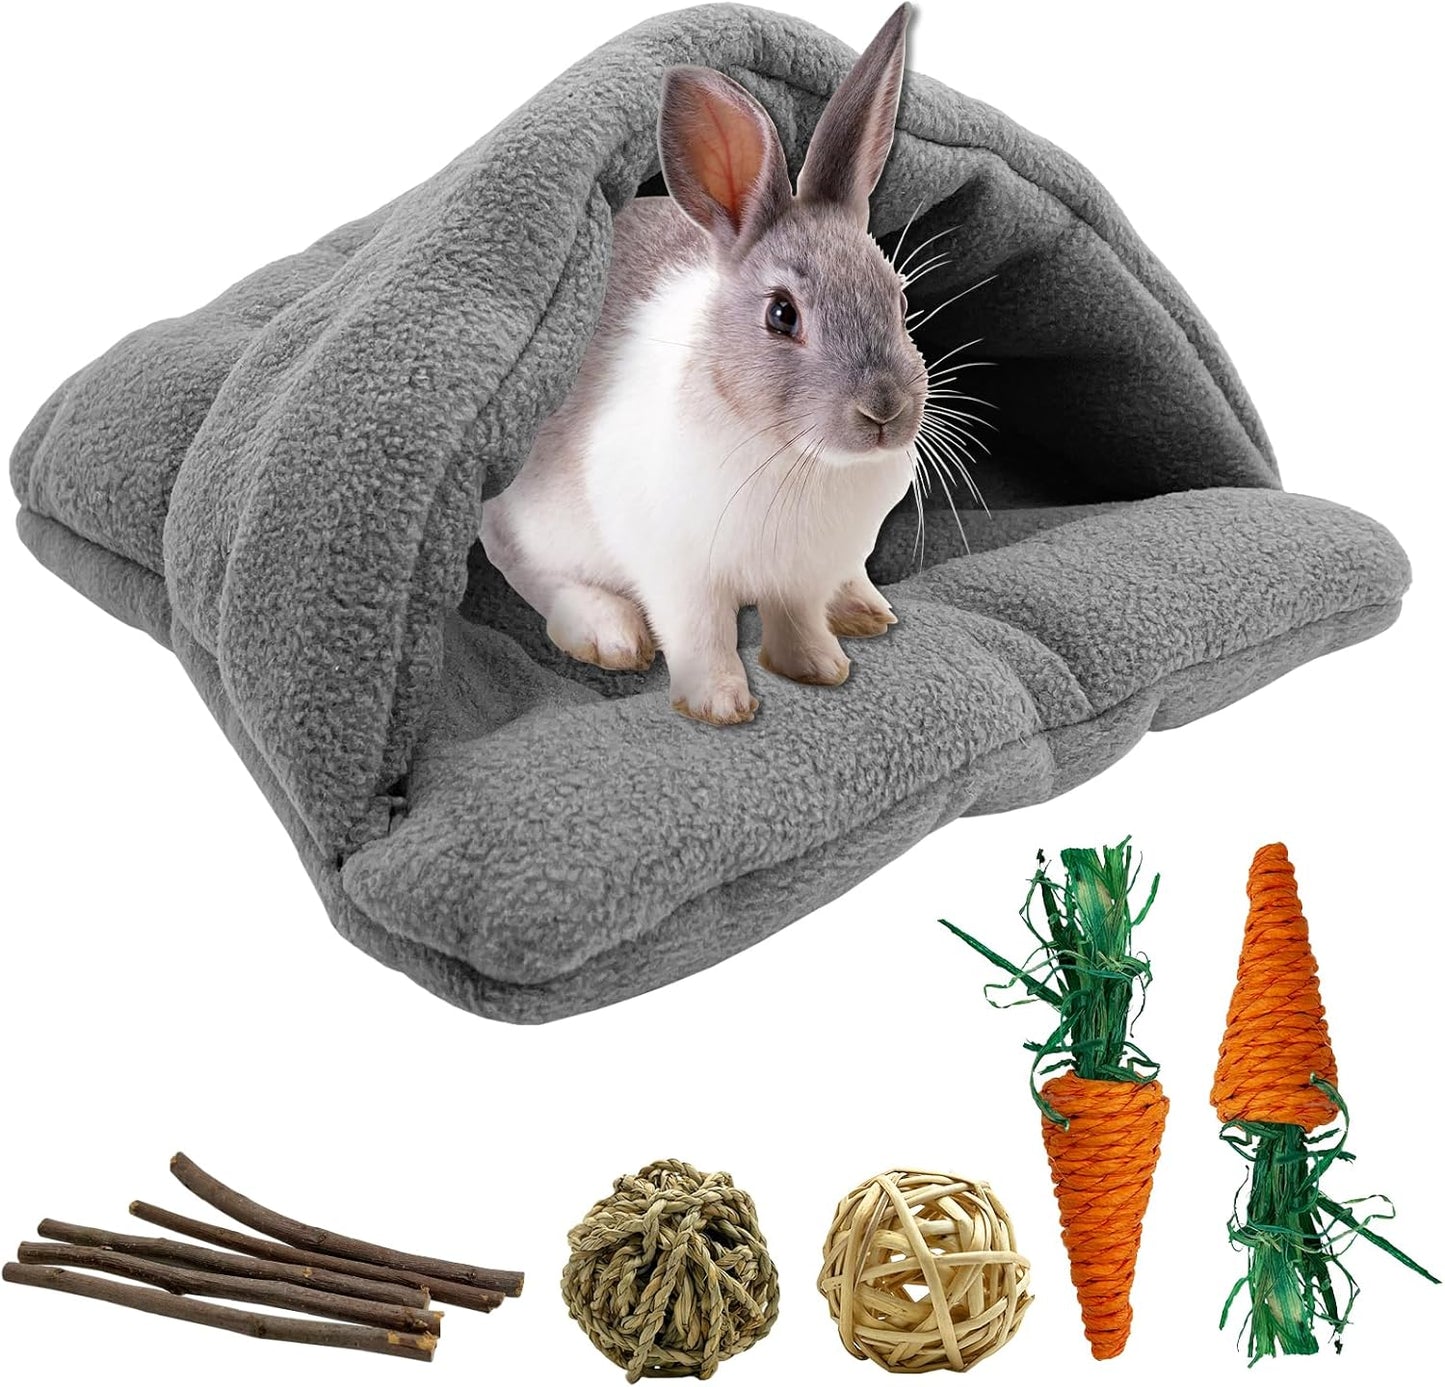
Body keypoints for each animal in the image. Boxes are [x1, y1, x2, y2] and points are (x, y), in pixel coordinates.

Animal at [480, 4, 926, 725]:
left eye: (900, 298)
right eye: (781, 314)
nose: (885, 410)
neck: (795, 457)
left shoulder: (800, 573)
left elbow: (797, 618)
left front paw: (820, 668)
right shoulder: (679, 570)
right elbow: (702, 633)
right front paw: (719, 706)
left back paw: (863, 609)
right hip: (529, 526)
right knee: (534, 576)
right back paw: (609, 634)